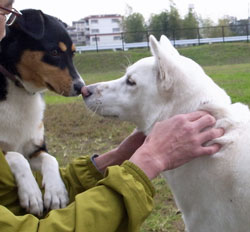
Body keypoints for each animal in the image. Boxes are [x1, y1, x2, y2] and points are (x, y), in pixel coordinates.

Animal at [0, 9, 84, 216]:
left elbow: (51, 159)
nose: (81, 88)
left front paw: (56, 192)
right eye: (54, 52)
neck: (19, 89)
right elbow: (17, 157)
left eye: (73, 53)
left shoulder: (35, 148)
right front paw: (32, 194)